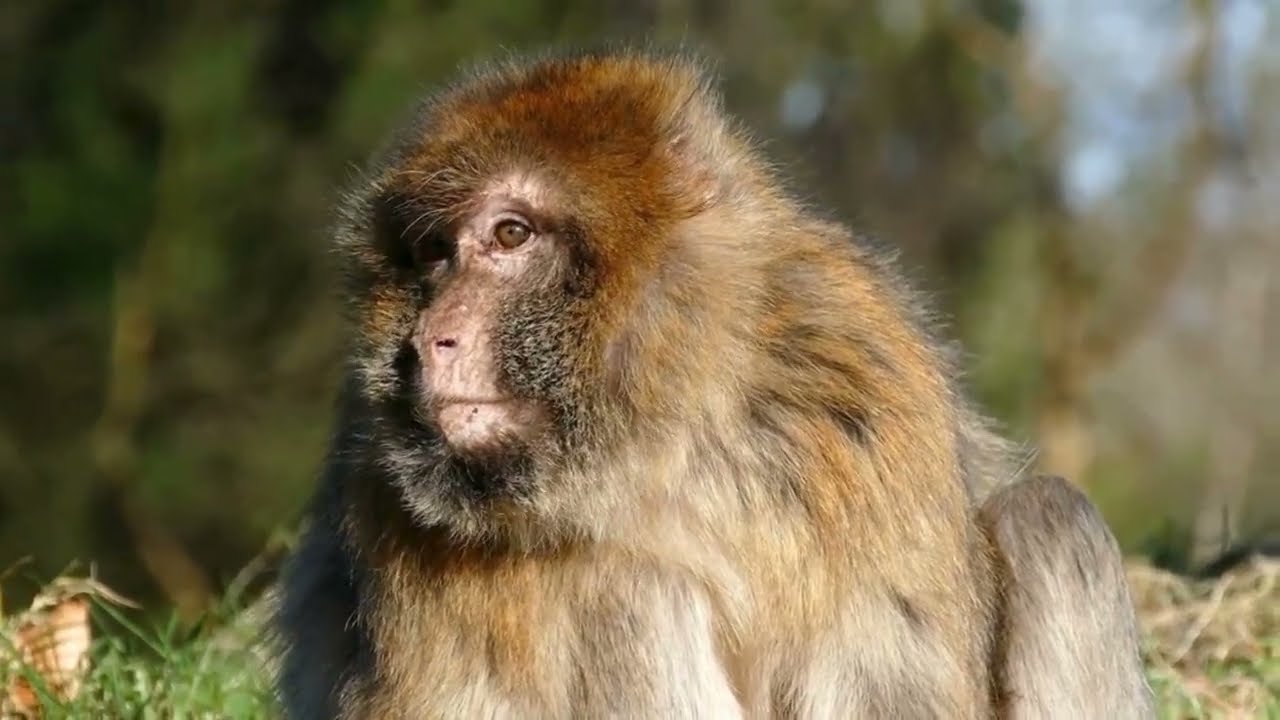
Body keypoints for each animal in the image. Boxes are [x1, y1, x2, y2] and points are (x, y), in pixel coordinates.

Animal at [273, 49, 1155, 719]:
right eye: (434, 253)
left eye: (512, 235)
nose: (430, 339)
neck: (655, 439)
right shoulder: (382, 485)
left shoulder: (860, 382)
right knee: (626, 588)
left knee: (1051, 518)